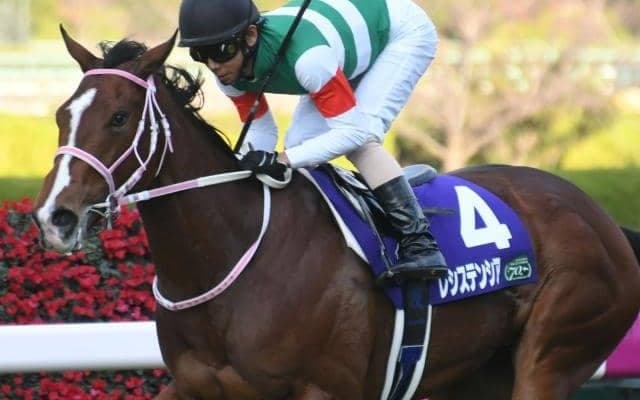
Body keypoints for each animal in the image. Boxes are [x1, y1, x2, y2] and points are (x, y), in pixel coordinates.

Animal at [32, 28, 640, 400]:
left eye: (119, 117)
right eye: (62, 114)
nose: (55, 217)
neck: (231, 259)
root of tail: (605, 220)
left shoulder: (323, 389)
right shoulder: (192, 385)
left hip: (554, 351)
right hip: (479, 373)